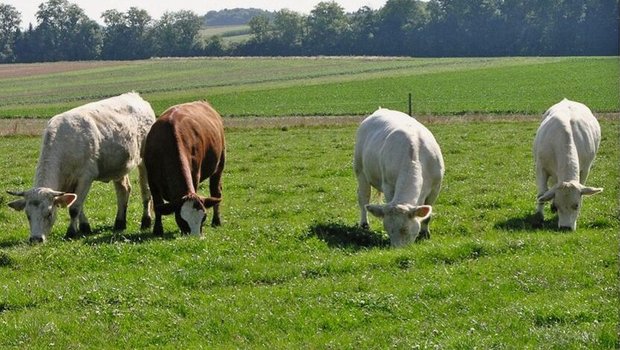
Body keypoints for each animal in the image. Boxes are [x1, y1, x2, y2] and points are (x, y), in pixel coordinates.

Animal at [7, 91, 155, 242]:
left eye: (49, 213)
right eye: (28, 215)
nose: (36, 239)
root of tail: (135, 95)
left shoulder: (85, 177)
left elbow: (74, 209)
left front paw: (71, 232)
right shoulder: (69, 184)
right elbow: (78, 204)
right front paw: (85, 227)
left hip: (144, 161)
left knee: (146, 191)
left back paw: (146, 221)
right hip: (118, 167)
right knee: (123, 190)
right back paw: (120, 223)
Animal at [143, 101, 225, 238]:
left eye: (203, 217)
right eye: (182, 220)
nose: (196, 238)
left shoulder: (195, 174)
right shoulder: (152, 180)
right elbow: (157, 204)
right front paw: (158, 230)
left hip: (219, 165)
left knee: (215, 192)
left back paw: (216, 221)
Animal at [354, 108, 446, 247]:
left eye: (405, 229)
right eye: (387, 229)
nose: (398, 249)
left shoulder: (436, 187)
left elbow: (427, 216)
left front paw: (425, 233)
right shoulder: (388, 186)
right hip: (360, 171)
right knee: (364, 198)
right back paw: (364, 224)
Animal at [532, 98, 604, 230]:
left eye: (576, 205)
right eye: (557, 206)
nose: (565, 228)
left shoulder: (585, 169)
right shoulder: (541, 168)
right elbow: (541, 193)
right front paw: (539, 215)